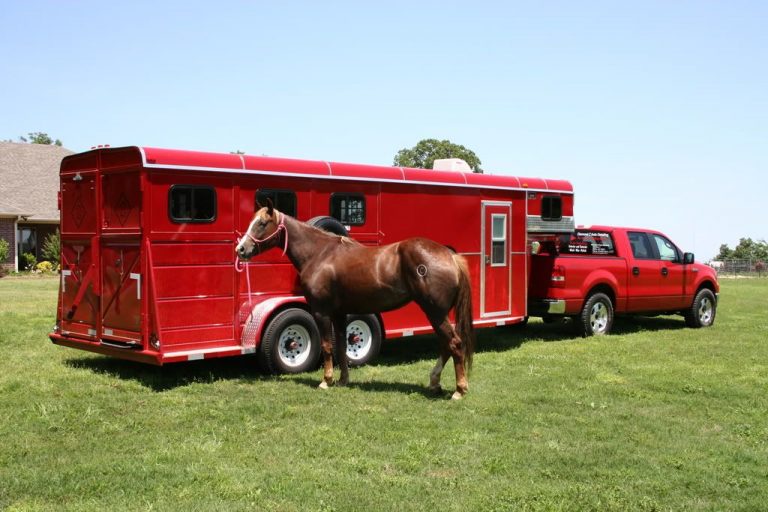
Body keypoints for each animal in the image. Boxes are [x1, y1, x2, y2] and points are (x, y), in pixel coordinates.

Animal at [236, 201, 475, 399]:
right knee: (446, 345)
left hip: (434, 312)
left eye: (262, 223)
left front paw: (326, 381)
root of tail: (450, 256)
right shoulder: (340, 314)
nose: (241, 249)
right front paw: (343, 380)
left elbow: (326, 345)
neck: (320, 254)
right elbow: (341, 346)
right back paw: (435, 383)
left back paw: (459, 390)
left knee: (454, 344)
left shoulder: (321, 311)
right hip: (437, 314)